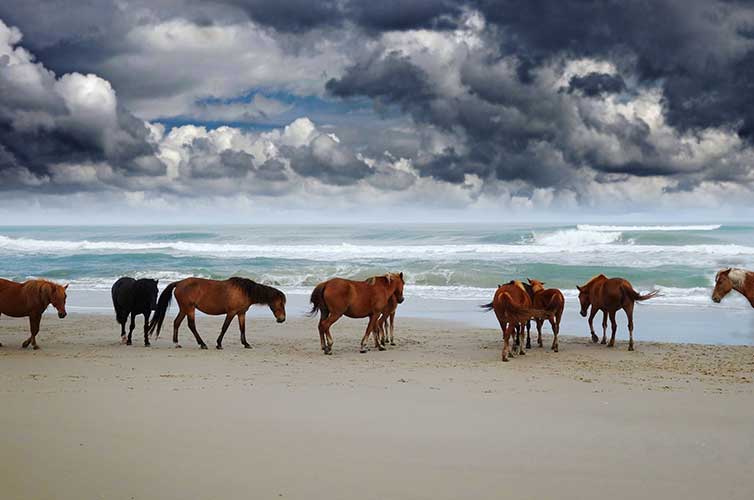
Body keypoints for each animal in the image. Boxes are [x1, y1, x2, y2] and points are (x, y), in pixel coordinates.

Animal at [148, 278, 286, 352]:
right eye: (280, 303)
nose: (282, 319)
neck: (244, 291)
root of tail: (179, 282)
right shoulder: (231, 313)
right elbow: (225, 328)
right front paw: (219, 344)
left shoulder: (241, 313)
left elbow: (243, 328)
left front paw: (246, 344)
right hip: (189, 309)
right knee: (191, 325)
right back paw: (202, 344)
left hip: (184, 309)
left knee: (177, 322)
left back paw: (176, 343)